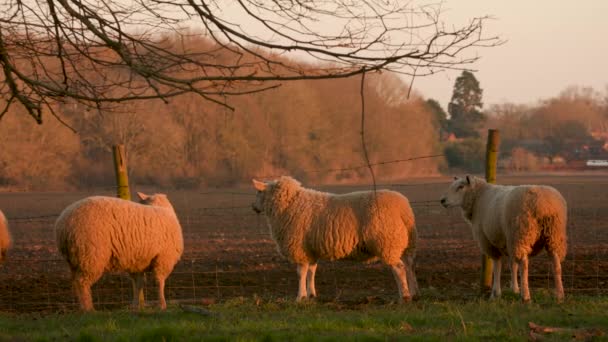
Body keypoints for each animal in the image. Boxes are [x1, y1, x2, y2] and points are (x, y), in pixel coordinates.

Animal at [54, 191, 183, 312]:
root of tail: (63, 226)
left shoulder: (137, 261)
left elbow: (138, 284)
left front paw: (135, 306)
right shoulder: (164, 258)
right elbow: (159, 282)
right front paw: (162, 305)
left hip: (75, 258)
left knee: (76, 282)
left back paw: (82, 308)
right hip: (91, 254)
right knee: (82, 283)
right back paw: (89, 309)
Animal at [249, 176, 416, 302]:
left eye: (258, 192)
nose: (253, 207)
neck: (289, 205)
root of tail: (403, 208)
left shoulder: (300, 249)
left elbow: (301, 273)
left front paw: (300, 297)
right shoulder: (311, 250)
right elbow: (311, 271)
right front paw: (311, 294)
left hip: (387, 242)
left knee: (399, 268)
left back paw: (404, 296)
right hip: (406, 244)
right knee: (409, 266)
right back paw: (414, 292)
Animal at [440, 176, 568, 302]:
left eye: (460, 187)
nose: (443, 200)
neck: (478, 197)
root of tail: (544, 205)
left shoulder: (488, 241)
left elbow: (497, 265)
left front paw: (495, 293)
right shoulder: (507, 242)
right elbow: (512, 265)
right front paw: (514, 289)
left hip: (519, 233)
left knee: (524, 264)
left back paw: (525, 296)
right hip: (553, 235)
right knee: (556, 263)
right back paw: (559, 295)